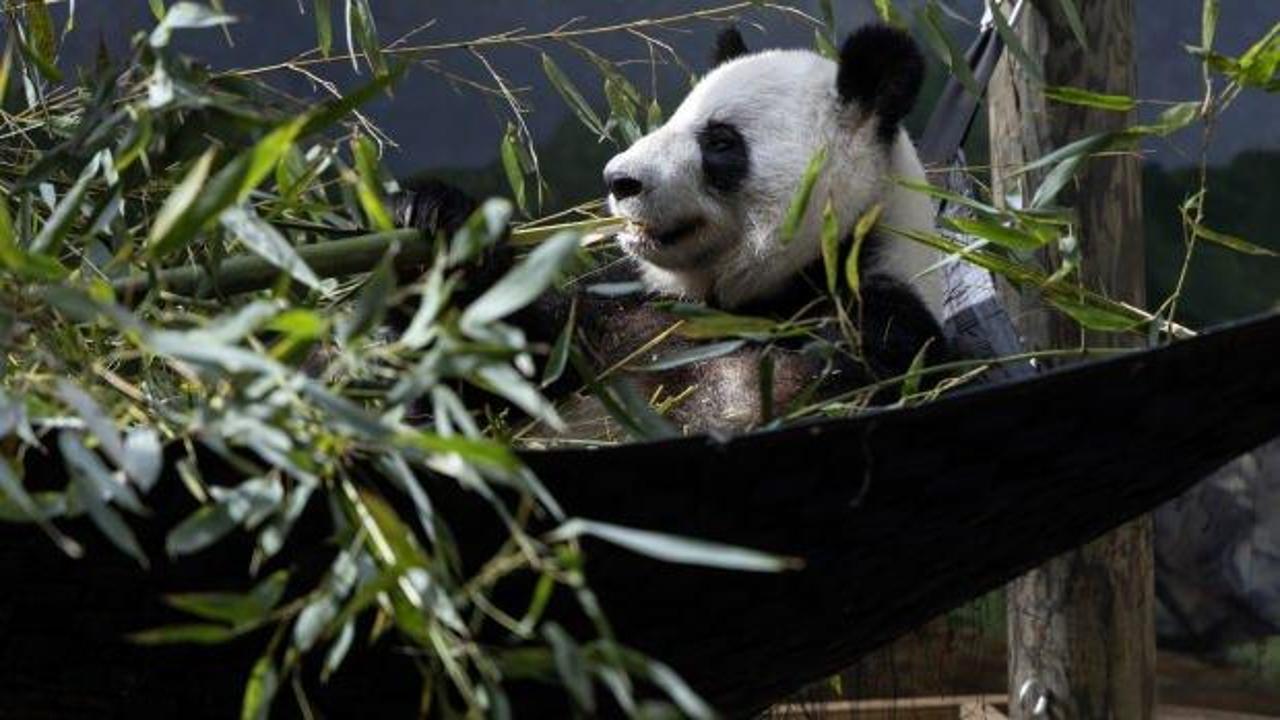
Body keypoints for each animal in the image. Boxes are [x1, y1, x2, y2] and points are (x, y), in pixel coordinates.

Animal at [396, 23, 951, 436]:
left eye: (720, 142)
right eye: (671, 119)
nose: (619, 180)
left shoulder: (876, 322)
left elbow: (776, 397)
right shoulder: (617, 308)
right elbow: (485, 383)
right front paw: (436, 223)